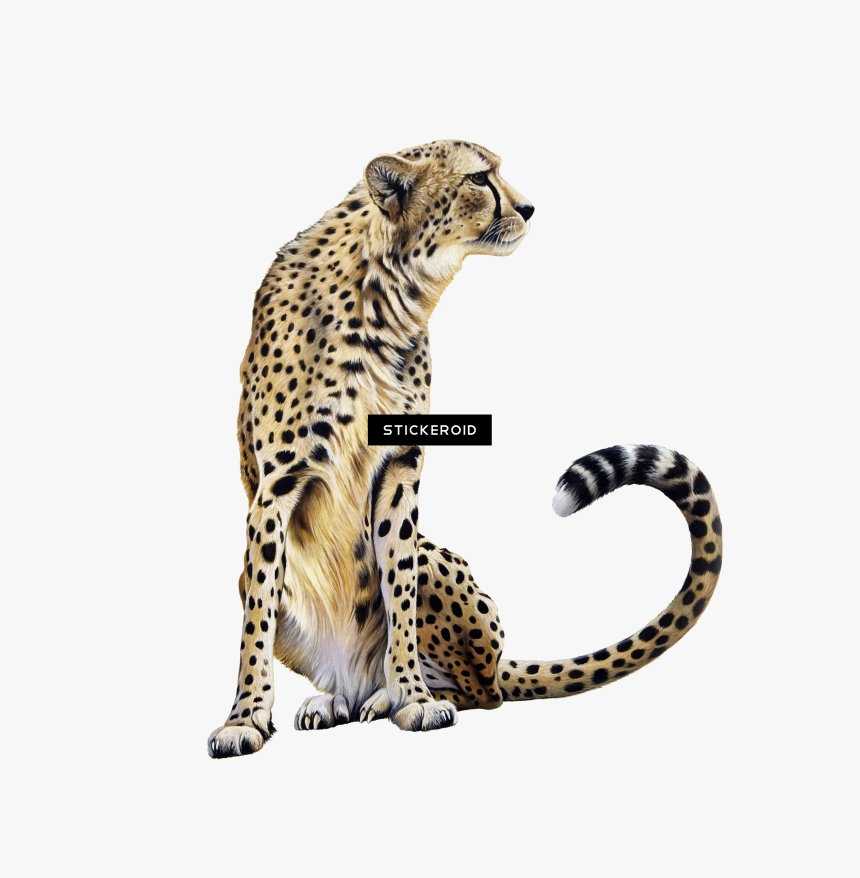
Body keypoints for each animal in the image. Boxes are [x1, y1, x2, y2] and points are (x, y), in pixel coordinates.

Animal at [207, 140, 723, 757]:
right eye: (480, 178)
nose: (529, 208)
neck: (386, 294)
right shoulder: (275, 488)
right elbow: (256, 617)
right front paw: (245, 717)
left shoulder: (401, 468)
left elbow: (398, 588)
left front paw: (412, 698)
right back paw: (337, 701)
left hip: (447, 581)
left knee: (485, 689)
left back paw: (388, 697)